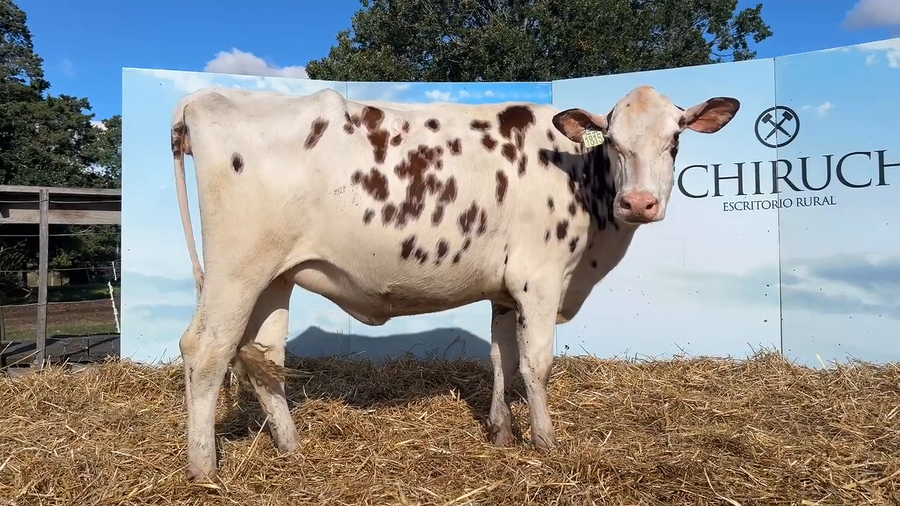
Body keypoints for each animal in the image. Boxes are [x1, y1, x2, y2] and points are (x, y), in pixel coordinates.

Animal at [170, 84, 740, 481]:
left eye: (675, 139)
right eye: (615, 142)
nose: (639, 202)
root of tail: (202, 99)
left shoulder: (506, 289)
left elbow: (500, 356)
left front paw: (501, 432)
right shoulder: (539, 278)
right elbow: (536, 364)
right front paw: (546, 442)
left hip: (275, 274)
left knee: (262, 353)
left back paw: (291, 447)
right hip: (236, 268)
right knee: (206, 349)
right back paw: (205, 470)